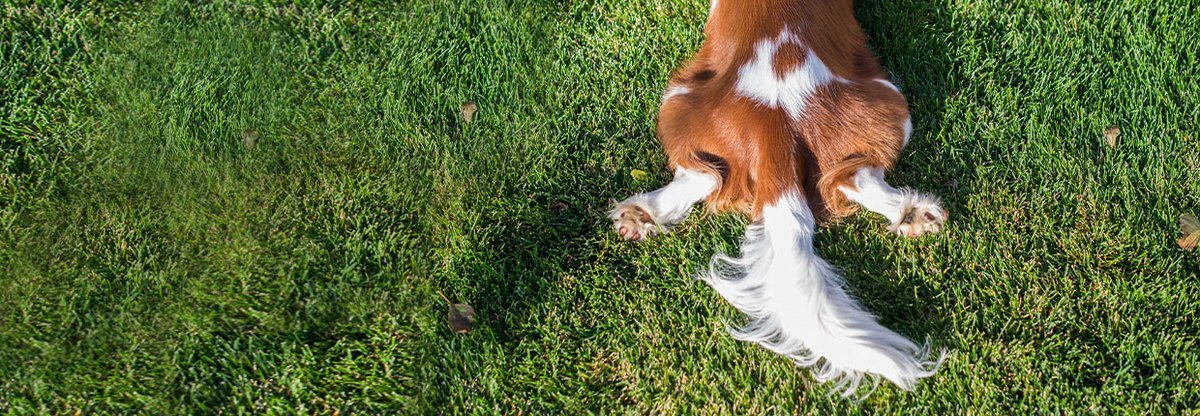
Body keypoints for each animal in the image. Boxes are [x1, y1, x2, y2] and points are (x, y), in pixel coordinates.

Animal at [619, 0, 945, 398]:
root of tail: (773, 125)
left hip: (676, 102)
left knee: (706, 176)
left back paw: (643, 213)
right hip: (886, 106)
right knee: (849, 177)